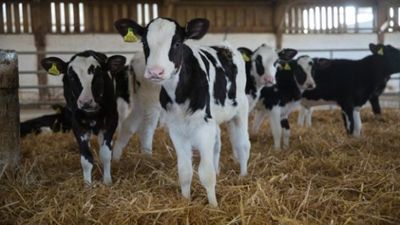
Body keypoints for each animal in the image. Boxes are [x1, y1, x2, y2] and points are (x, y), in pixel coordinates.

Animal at [41, 51, 126, 185]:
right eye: (71, 77)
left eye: (98, 75)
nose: (85, 102)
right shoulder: (77, 125)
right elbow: (86, 158)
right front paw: (87, 184)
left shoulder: (111, 120)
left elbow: (106, 154)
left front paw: (107, 181)